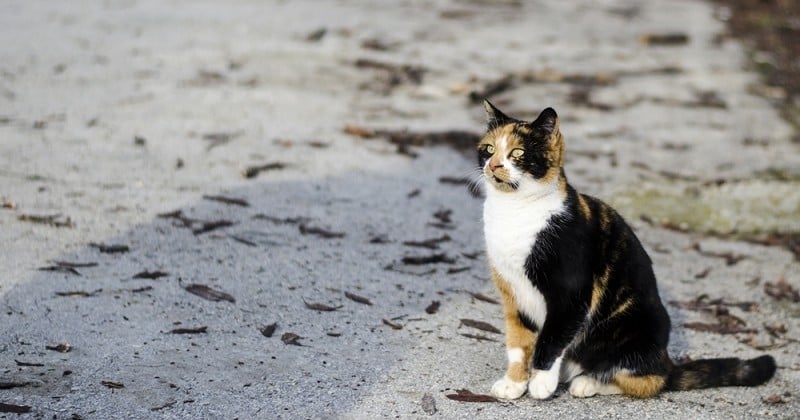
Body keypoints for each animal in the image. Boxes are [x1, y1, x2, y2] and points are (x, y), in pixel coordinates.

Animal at [478, 99, 780, 400]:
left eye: (518, 152)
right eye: (489, 149)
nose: (493, 165)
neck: (514, 210)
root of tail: (666, 359)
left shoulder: (570, 296)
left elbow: (551, 340)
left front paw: (540, 383)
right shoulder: (513, 294)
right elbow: (518, 343)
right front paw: (514, 383)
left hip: (633, 328)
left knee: (649, 380)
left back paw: (587, 382)